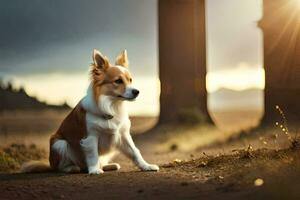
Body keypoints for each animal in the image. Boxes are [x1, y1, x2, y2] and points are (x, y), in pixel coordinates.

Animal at [21, 49, 159, 174]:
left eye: (130, 80)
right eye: (118, 81)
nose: (137, 91)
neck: (111, 106)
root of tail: (50, 164)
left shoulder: (123, 136)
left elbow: (135, 152)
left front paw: (146, 166)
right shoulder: (90, 138)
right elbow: (93, 155)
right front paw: (94, 170)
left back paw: (109, 166)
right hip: (59, 143)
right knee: (61, 167)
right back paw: (72, 168)